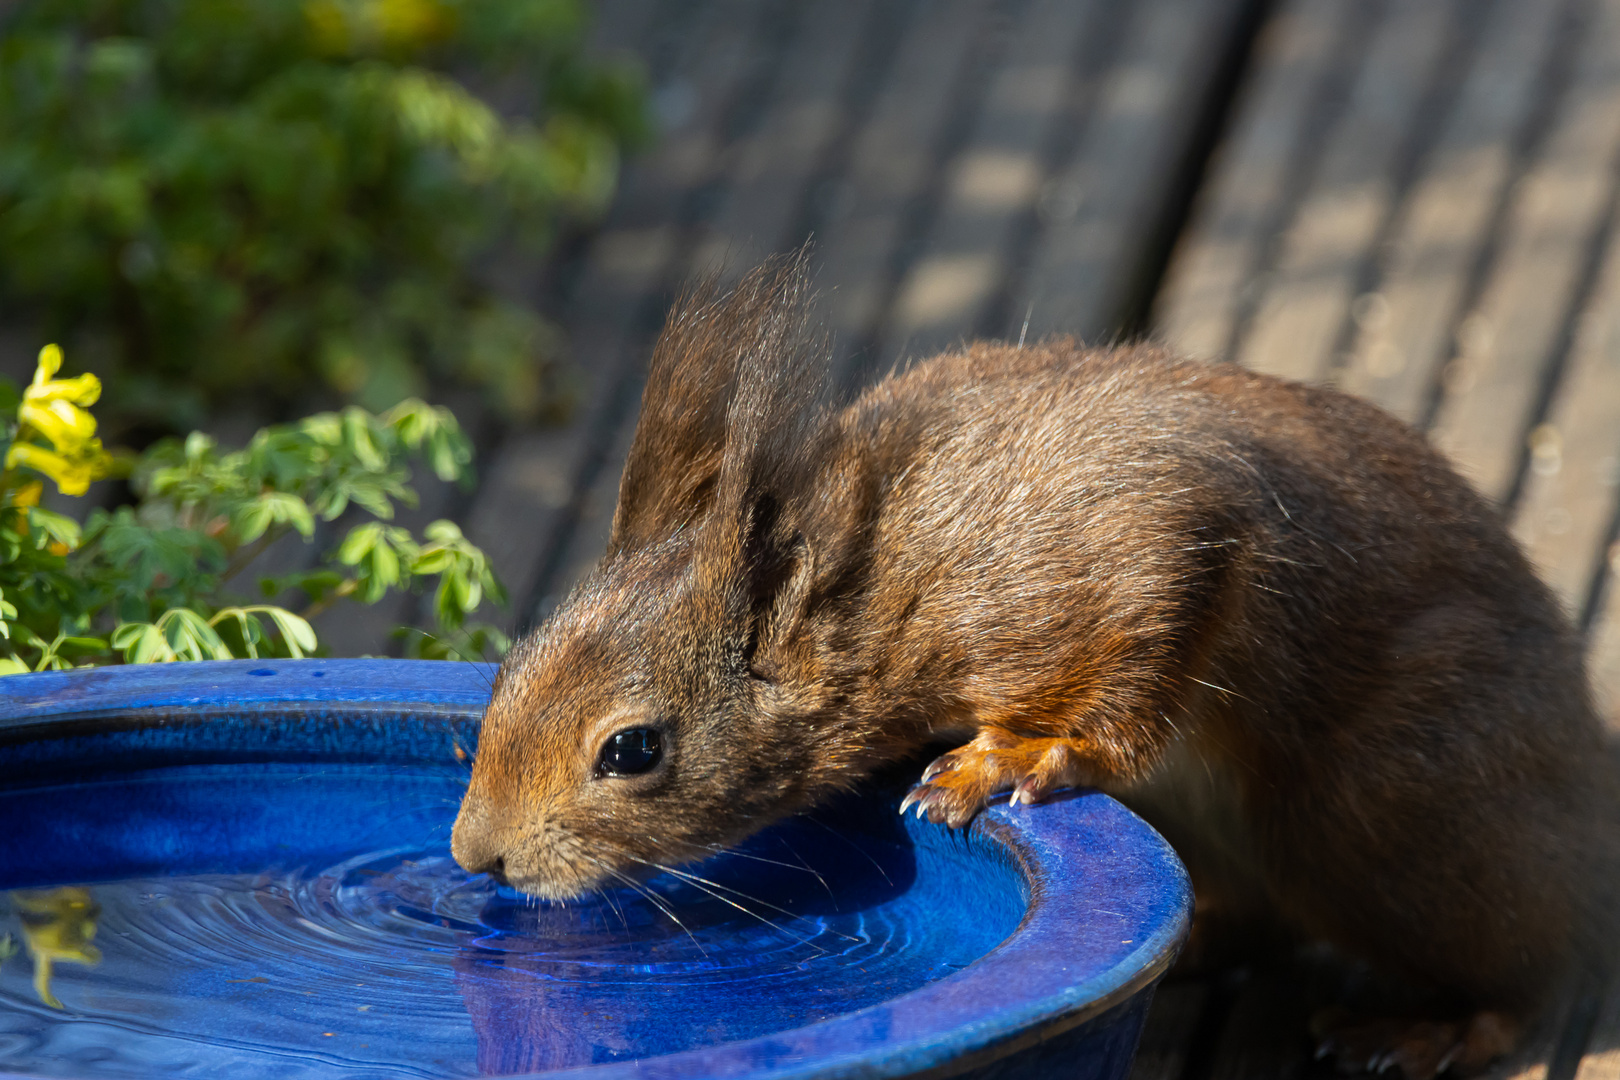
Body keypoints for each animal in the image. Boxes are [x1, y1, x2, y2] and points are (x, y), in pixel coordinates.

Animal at [450, 255, 1613, 1080]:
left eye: (632, 750)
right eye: (505, 674)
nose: (478, 856)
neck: (889, 575)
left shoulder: (1143, 543)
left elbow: (1139, 677)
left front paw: (1011, 761)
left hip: (1403, 805)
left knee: (1533, 966)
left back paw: (1438, 1027)